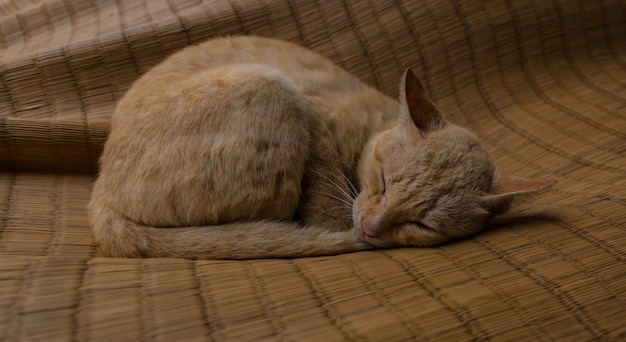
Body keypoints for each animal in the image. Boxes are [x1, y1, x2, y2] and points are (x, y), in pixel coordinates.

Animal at [86, 35, 552, 260]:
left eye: (423, 224)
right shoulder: (317, 128)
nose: (370, 229)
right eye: (384, 182)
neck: (373, 122)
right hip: (272, 87)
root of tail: (100, 194)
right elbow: (326, 203)